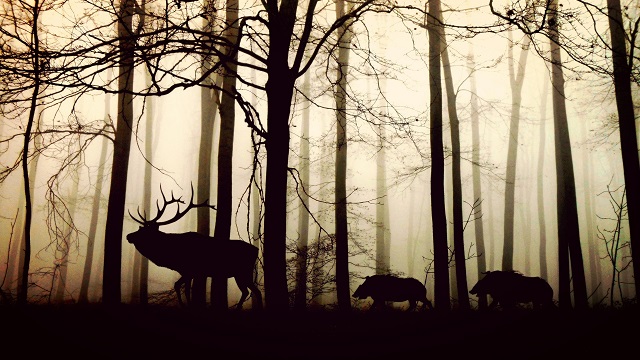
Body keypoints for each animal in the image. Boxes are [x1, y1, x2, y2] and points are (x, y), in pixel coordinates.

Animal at [126, 186, 262, 310]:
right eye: (140, 229)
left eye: (144, 232)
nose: (128, 236)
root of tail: (256, 250)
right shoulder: (186, 271)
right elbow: (178, 286)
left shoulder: (189, 270)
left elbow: (185, 290)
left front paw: (188, 306)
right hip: (241, 274)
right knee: (249, 291)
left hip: (243, 272)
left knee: (252, 291)